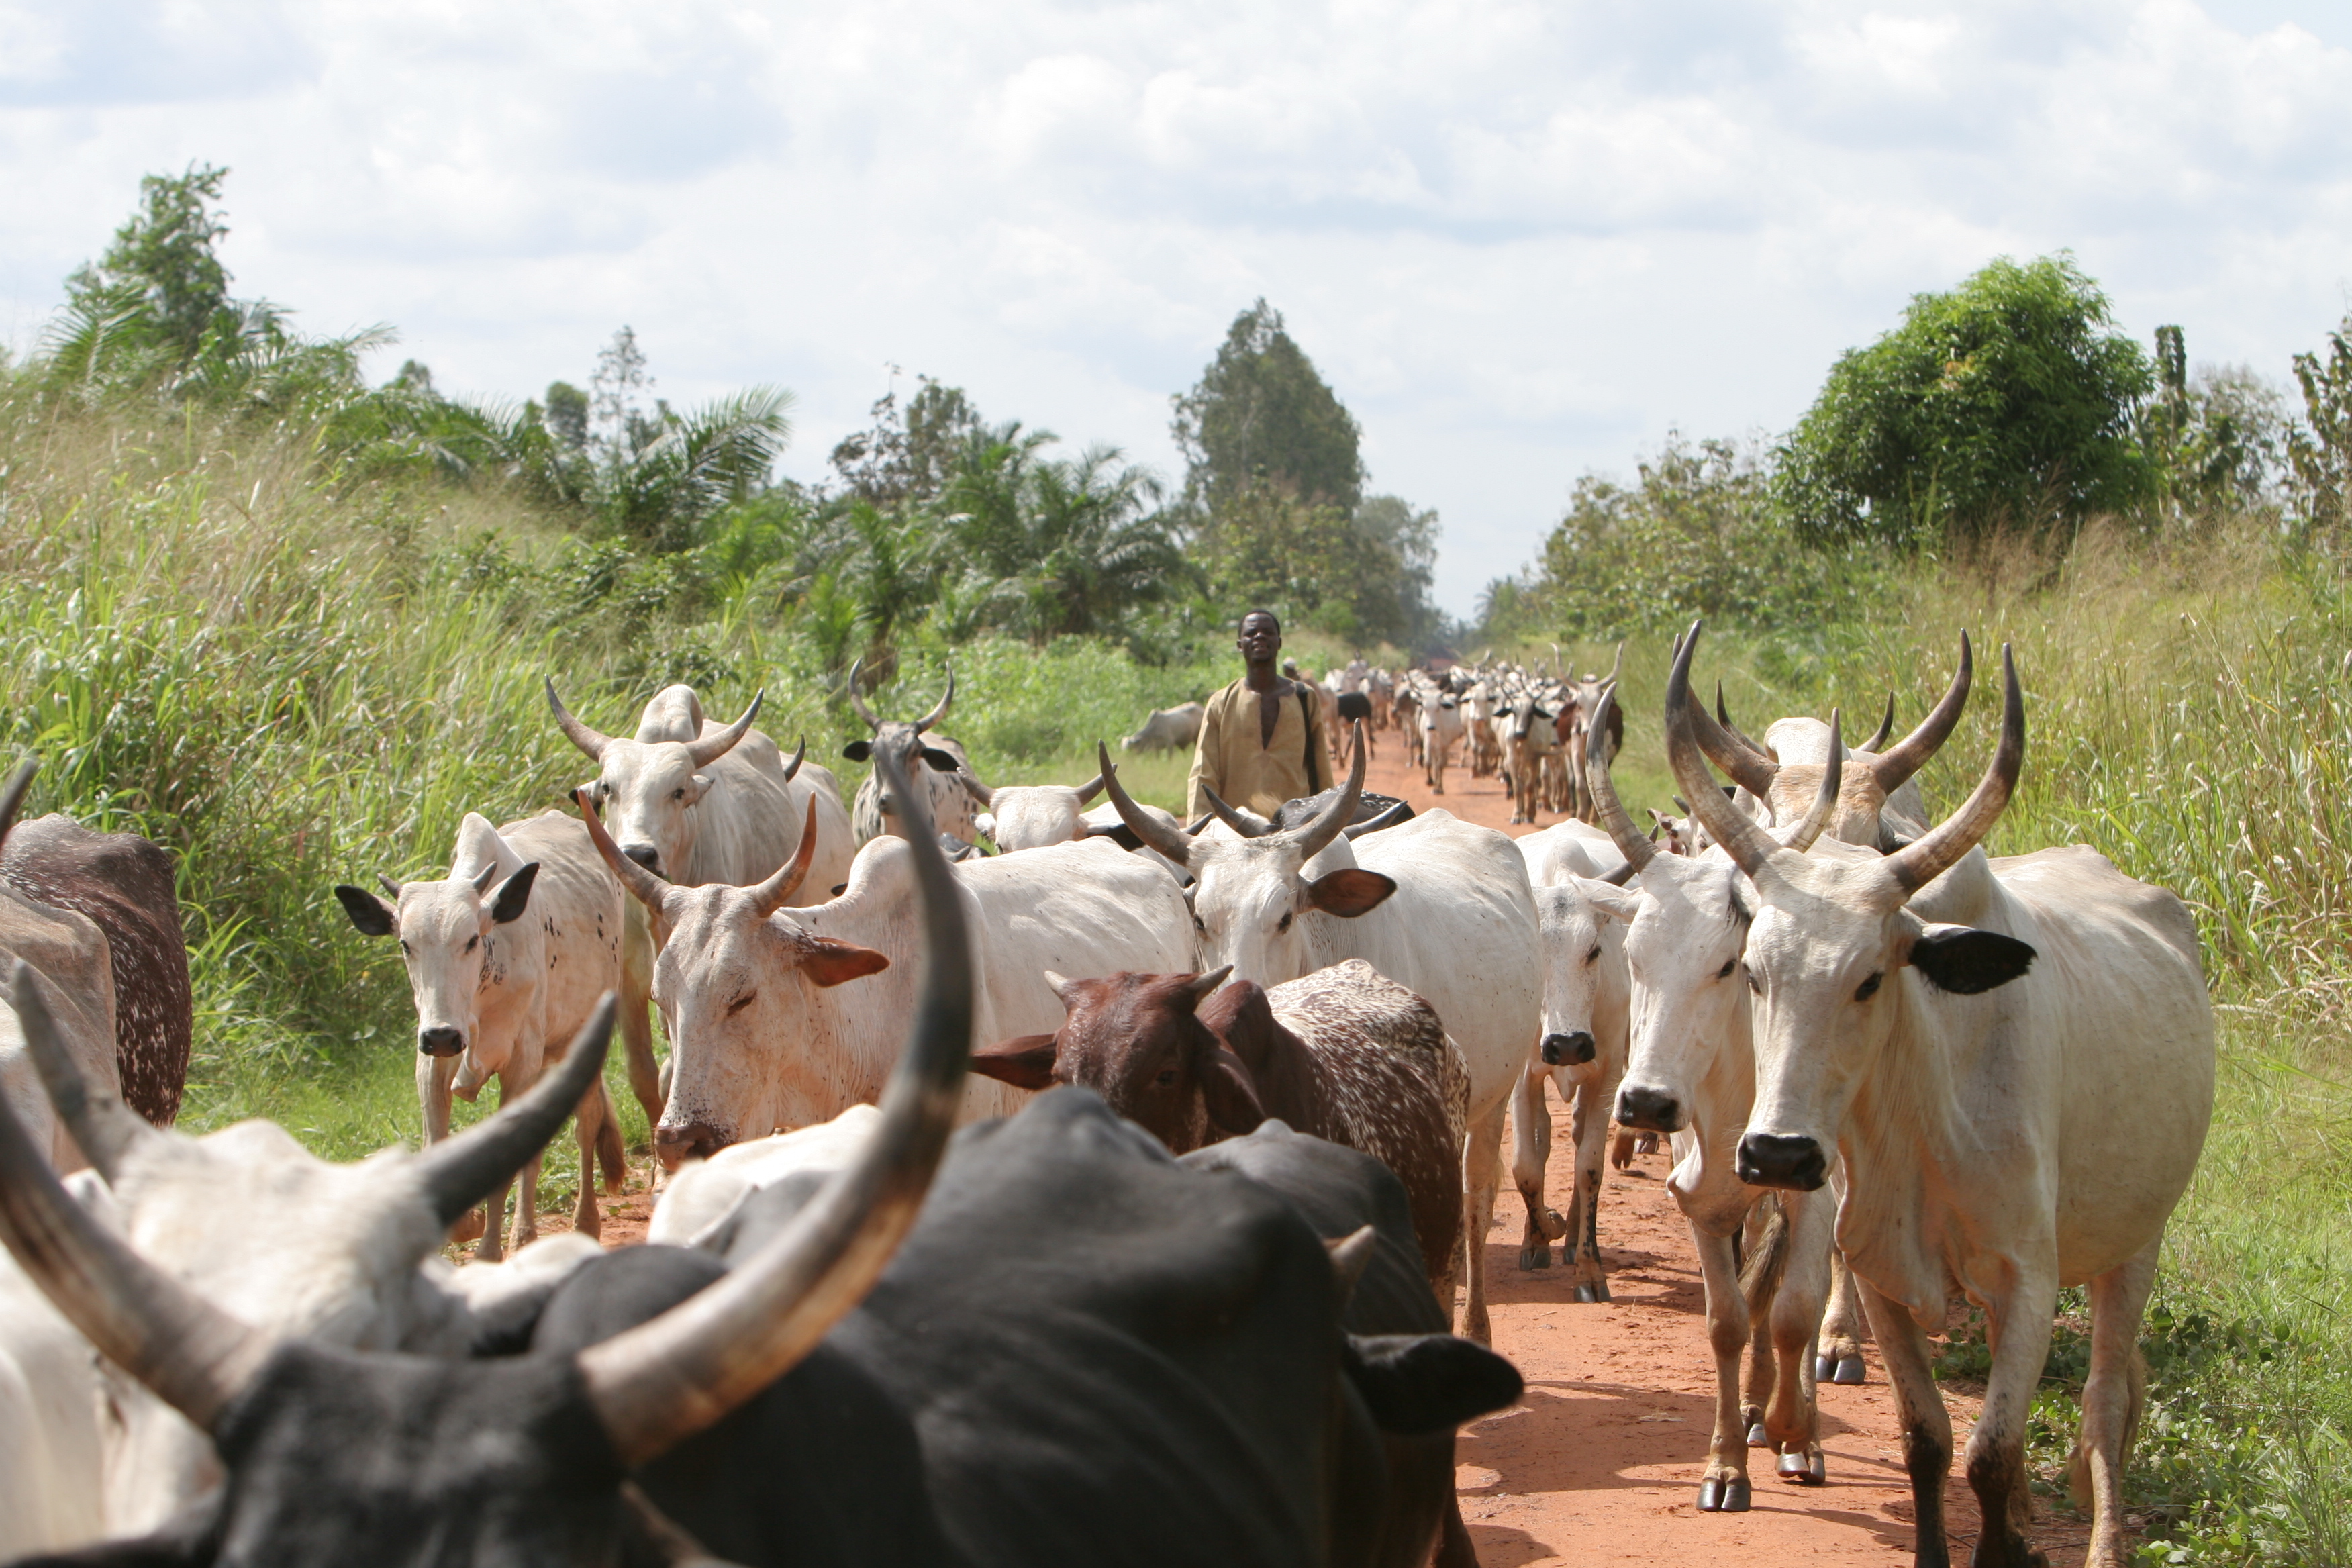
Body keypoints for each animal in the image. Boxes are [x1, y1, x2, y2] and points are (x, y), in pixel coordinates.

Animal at [334, 808, 626, 1255]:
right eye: (405, 944)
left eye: (472, 939)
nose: (441, 1036)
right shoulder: (432, 1064)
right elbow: (435, 1146)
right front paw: (462, 1226)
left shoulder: (521, 1062)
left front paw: (488, 1251)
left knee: (585, 1125)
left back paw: (573, 1227)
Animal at [1662, 624, 2215, 1568]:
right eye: (1755, 971)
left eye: (1871, 977)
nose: (1778, 1152)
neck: (1925, 1115)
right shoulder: (1883, 1268)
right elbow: (1928, 1439)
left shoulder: (2029, 1277)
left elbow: (1989, 1452)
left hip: (2136, 1239)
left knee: (2103, 1403)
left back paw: (2097, 1540)